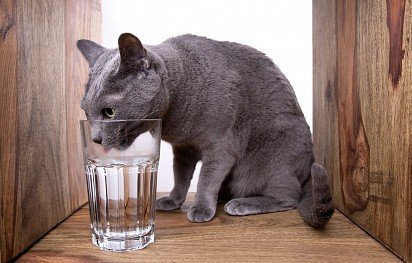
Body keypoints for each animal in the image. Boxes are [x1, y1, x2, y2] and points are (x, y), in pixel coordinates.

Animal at [77, 32, 334, 227]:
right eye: (86, 112)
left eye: (109, 112)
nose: (95, 138)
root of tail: (308, 166)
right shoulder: (183, 148)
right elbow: (181, 176)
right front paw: (174, 200)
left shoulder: (221, 146)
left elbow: (206, 178)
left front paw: (201, 207)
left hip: (275, 157)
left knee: (289, 196)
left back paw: (242, 203)